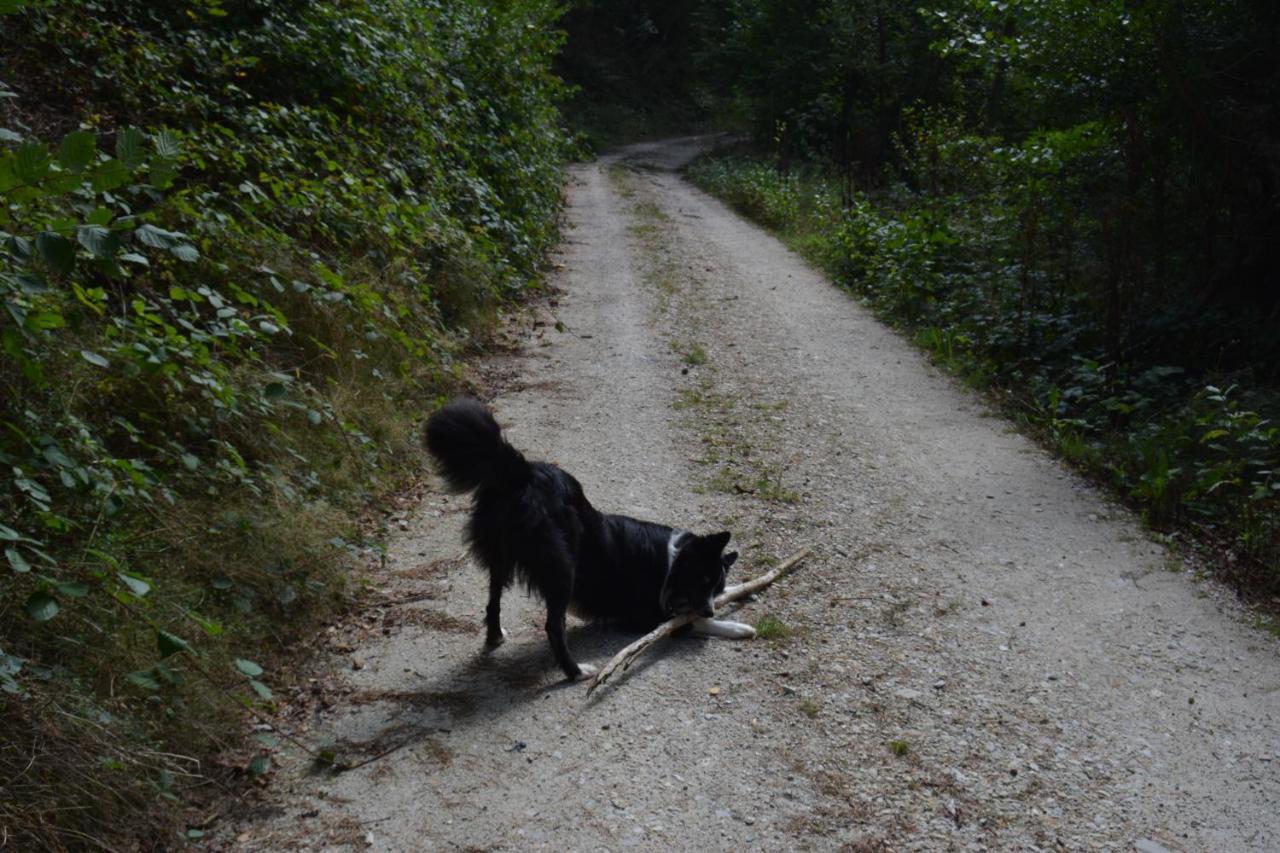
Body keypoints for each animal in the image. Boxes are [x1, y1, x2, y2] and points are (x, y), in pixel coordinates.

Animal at [424, 397, 752, 676]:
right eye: (703, 581)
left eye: (715, 586)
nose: (710, 608)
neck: (671, 562)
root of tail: (521, 472)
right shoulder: (646, 615)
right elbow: (691, 623)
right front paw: (739, 628)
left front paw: (740, 590)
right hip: (561, 566)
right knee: (553, 627)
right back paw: (577, 672)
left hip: (501, 555)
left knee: (493, 602)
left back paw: (495, 637)